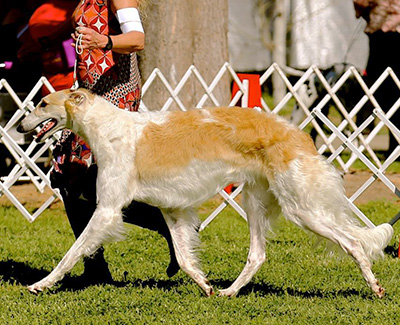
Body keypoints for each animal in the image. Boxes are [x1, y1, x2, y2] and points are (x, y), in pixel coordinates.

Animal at [19, 88, 394, 296]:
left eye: (42, 103)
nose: (20, 128)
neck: (109, 129)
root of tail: (299, 133)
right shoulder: (172, 209)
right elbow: (185, 259)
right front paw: (205, 285)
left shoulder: (108, 208)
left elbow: (71, 253)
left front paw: (41, 284)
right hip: (256, 201)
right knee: (258, 255)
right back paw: (229, 292)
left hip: (300, 209)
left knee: (353, 242)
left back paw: (375, 288)